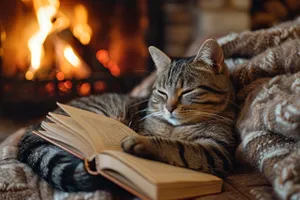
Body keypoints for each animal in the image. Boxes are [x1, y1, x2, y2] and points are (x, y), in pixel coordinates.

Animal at [17, 38, 237, 191]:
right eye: (162, 92)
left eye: (187, 92)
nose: (169, 107)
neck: (175, 128)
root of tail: (39, 124)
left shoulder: (217, 151)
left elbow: (179, 147)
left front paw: (144, 143)